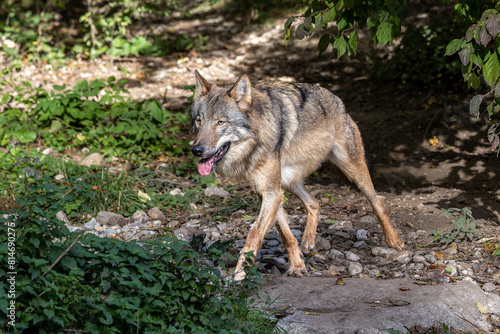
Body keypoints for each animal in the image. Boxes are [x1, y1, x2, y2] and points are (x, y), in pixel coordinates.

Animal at [189, 72, 404, 280]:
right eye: (199, 121)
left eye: (220, 122)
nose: (196, 150)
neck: (255, 140)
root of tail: (336, 99)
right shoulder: (268, 192)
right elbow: (286, 235)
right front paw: (297, 266)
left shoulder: (272, 193)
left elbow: (254, 235)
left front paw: (239, 275)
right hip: (288, 181)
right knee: (314, 202)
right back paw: (308, 241)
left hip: (353, 170)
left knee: (377, 203)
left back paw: (394, 241)